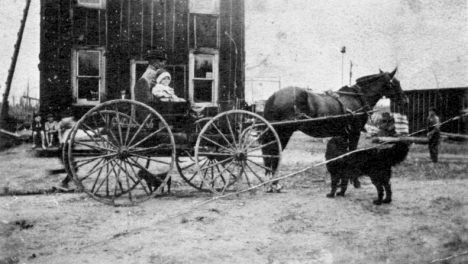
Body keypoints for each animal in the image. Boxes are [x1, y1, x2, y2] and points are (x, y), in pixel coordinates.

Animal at [262, 68, 408, 192]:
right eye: (395, 83)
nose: (405, 100)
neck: (357, 97)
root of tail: (274, 96)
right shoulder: (354, 132)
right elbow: (351, 153)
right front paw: (355, 182)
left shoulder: (344, 133)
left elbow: (343, 154)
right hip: (283, 133)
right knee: (274, 154)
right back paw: (274, 184)